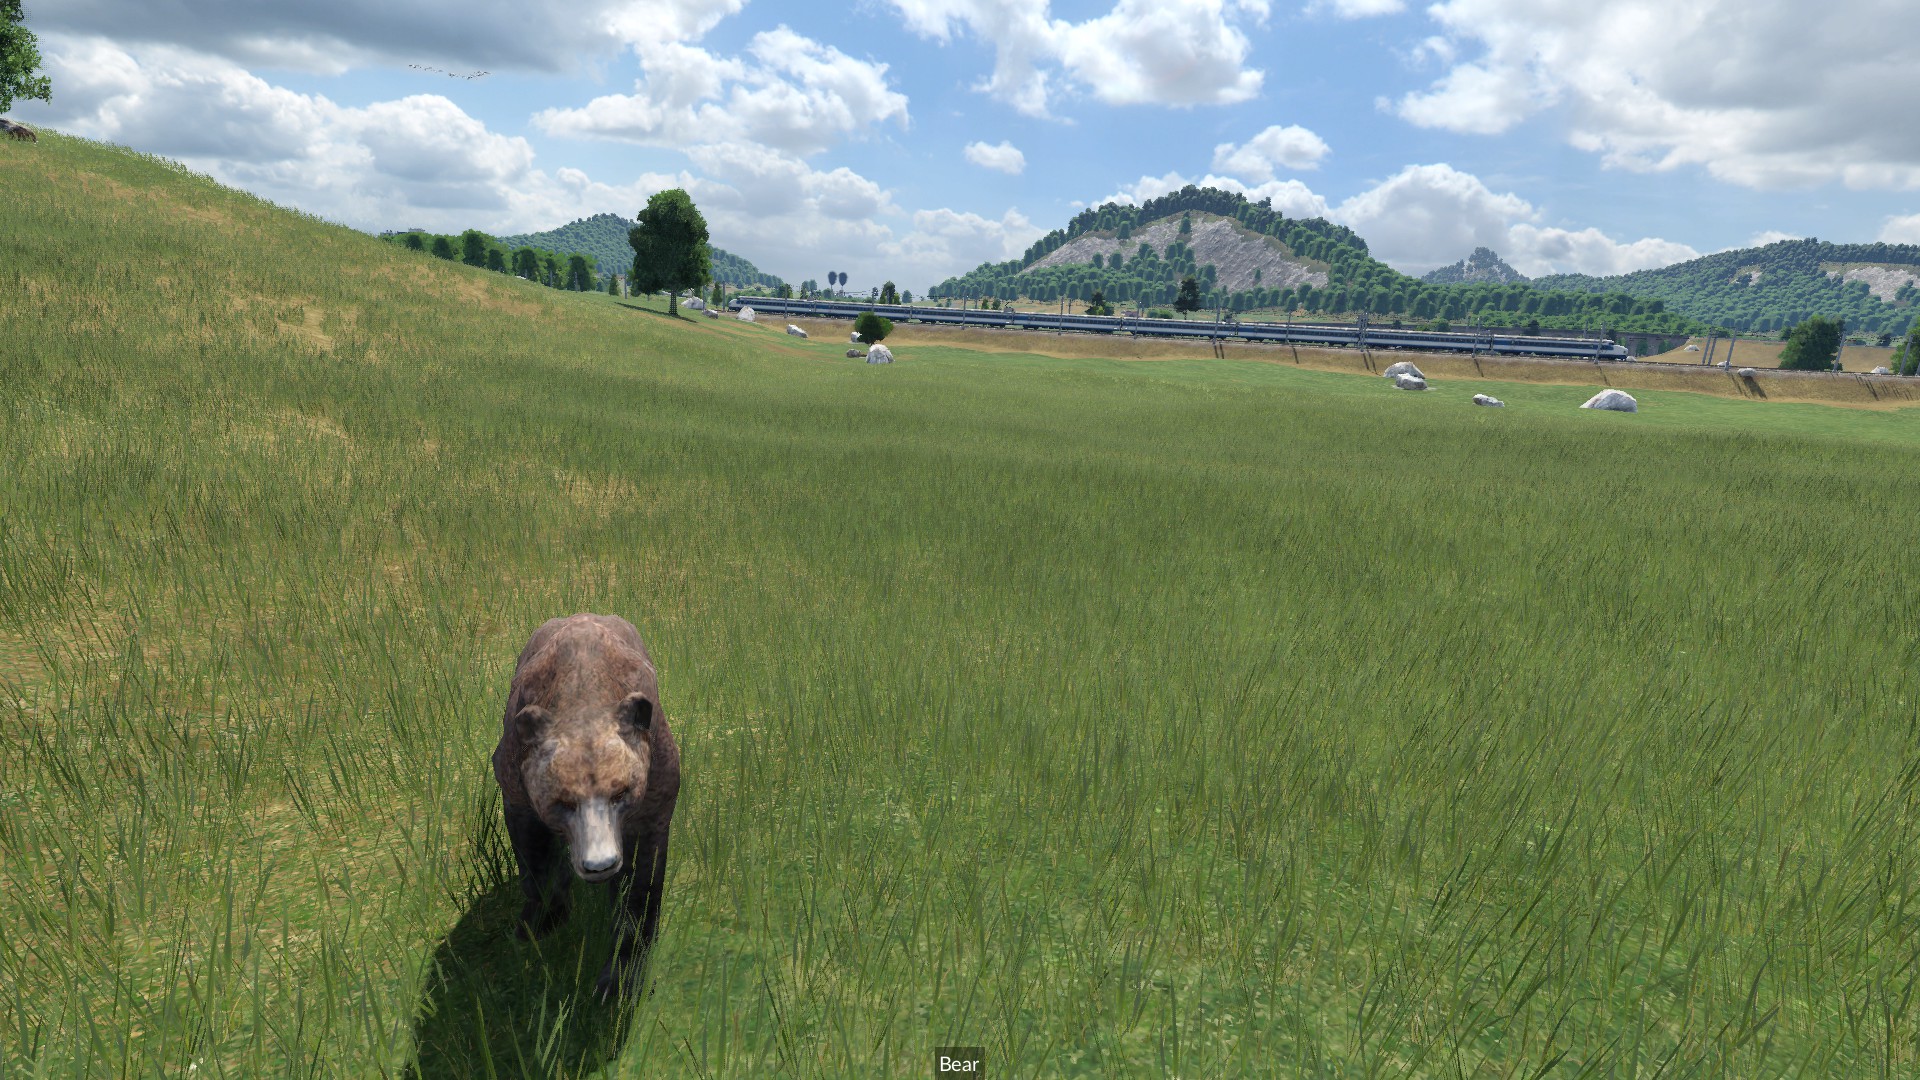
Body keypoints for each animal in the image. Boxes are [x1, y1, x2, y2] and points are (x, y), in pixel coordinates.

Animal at [491, 613, 681, 999]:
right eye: (563, 801)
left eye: (621, 792)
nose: (600, 864)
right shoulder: (518, 789)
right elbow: (535, 861)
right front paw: (539, 923)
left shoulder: (653, 798)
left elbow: (639, 885)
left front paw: (619, 977)